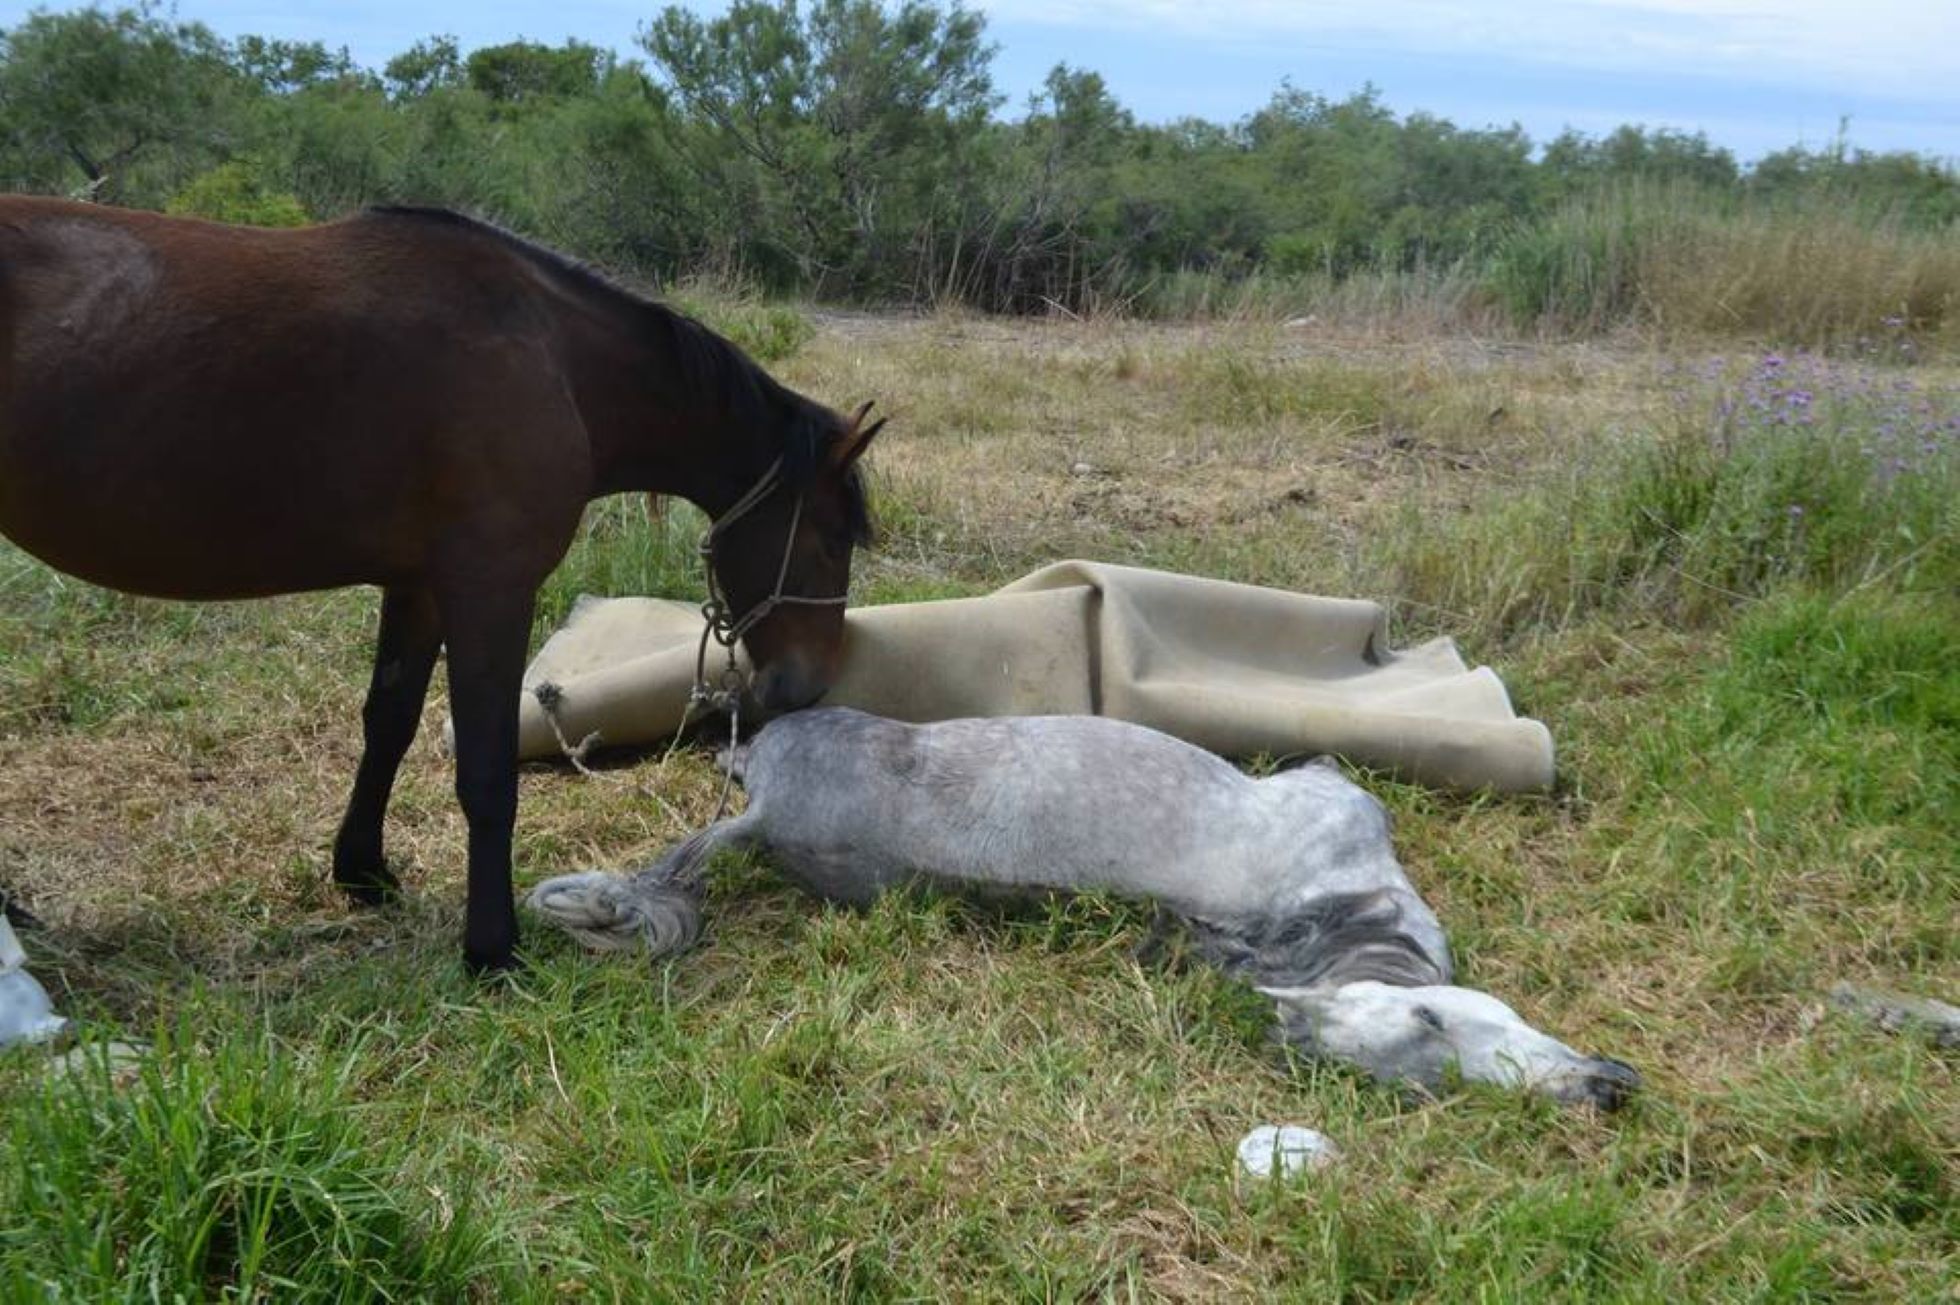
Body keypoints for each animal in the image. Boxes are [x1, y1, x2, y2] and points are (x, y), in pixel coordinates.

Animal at [0, 193, 882, 964]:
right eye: (832, 538)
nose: (805, 683)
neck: (548, 353)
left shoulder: (420, 588)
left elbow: (387, 724)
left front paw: (361, 869)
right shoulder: (490, 589)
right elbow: (486, 770)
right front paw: (491, 947)